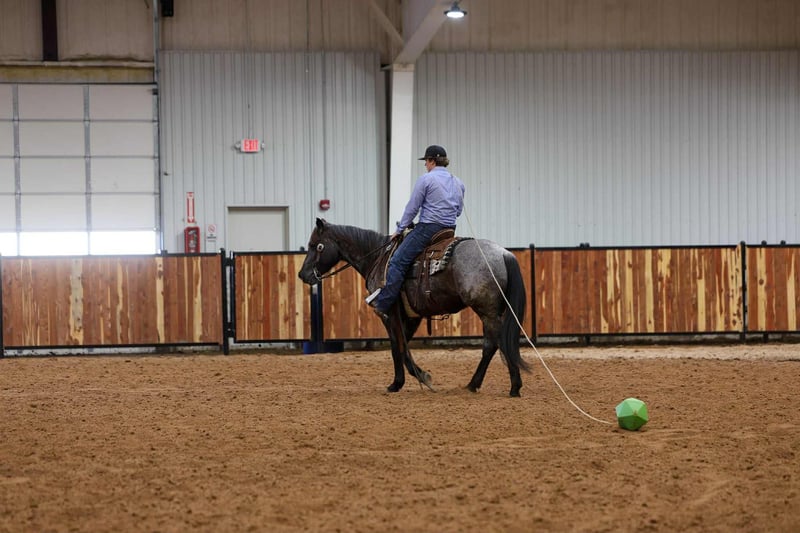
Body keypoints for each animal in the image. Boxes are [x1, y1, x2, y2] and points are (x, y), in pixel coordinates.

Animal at [298, 218, 531, 397]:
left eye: (316, 245)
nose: (302, 274)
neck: (377, 257)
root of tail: (504, 254)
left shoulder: (388, 313)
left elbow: (396, 347)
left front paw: (403, 382)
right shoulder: (410, 317)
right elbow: (402, 347)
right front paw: (412, 378)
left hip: (486, 311)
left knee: (499, 342)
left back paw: (514, 386)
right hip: (492, 311)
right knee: (491, 345)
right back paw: (474, 384)